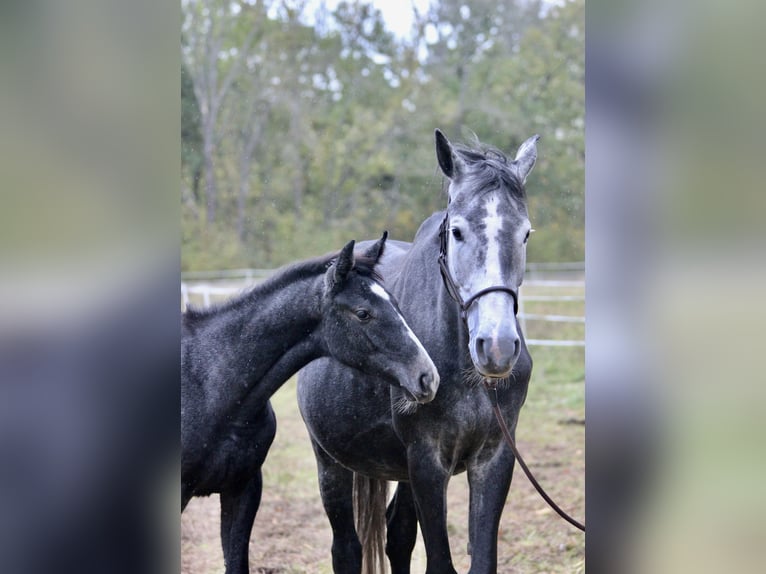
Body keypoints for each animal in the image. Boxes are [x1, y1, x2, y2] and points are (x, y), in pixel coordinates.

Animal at [297, 129, 540, 574]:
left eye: (525, 233)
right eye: (457, 231)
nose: (496, 347)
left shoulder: (494, 458)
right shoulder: (427, 461)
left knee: (397, 535)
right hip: (330, 460)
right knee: (347, 547)